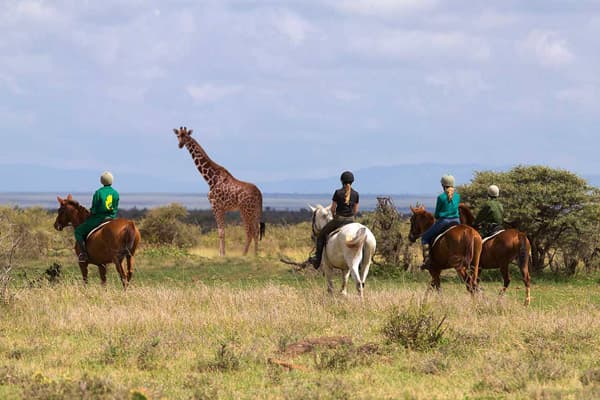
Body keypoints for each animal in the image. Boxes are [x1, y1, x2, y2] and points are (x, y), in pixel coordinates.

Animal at [175, 126, 266, 255]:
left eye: (186, 136)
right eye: (178, 136)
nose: (180, 145)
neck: (210, 179)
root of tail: (259, 193)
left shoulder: (216, 206)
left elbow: (221, 231)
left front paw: (222, 254)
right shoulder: (222, 208)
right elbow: (222, 230)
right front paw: (221, 252)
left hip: (245, 210)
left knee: (250, 231)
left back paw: (244, 254)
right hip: (254, 211)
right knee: (256, 231)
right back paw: (254, 254)